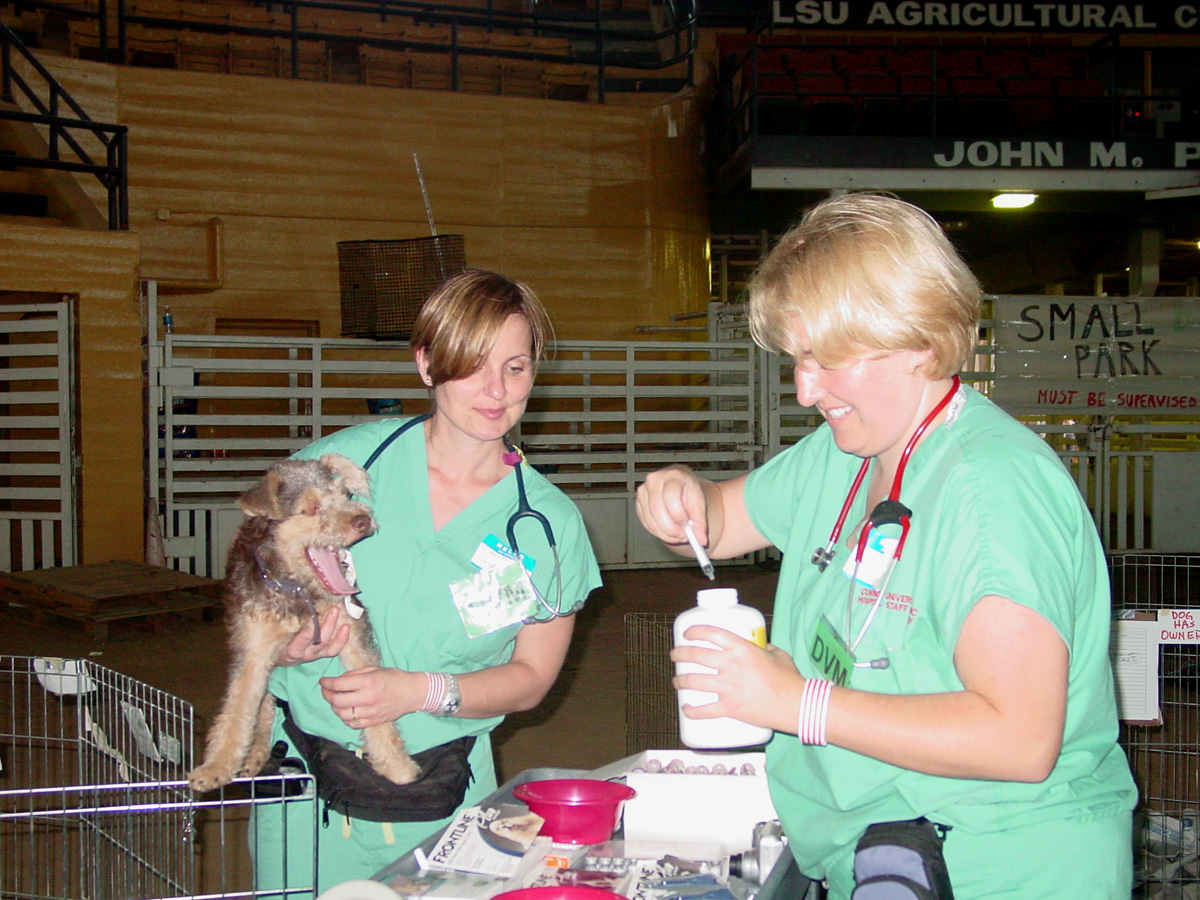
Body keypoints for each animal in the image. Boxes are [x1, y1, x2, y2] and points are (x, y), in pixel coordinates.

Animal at [182, 453, 417, 792]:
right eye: (312, 508)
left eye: (345, 494)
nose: (362, 520)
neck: (299, 591)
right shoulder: (253, 652)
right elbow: (237, 709)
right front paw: (214, 768)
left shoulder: (352, 634)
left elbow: (375, 707)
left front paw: (397, 765)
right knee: (262, 704)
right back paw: (252, 756)